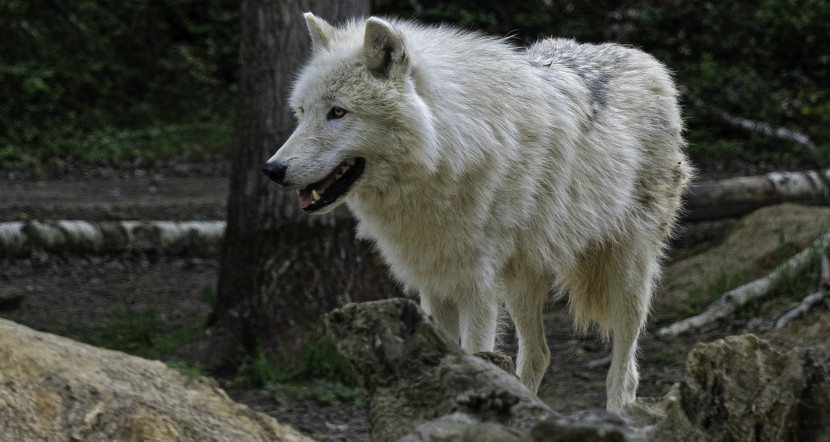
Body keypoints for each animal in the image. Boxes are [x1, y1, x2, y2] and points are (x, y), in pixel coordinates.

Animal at [264, 12, 688, 410]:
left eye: (338, 112)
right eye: (302, 111)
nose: (272, 170)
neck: (447, 152)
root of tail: (645, 60)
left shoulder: (477, 289)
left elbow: (474, 358)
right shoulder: (434, 287)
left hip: (628, 275)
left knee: (624, 373)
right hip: (524, 281)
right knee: (538, 355)